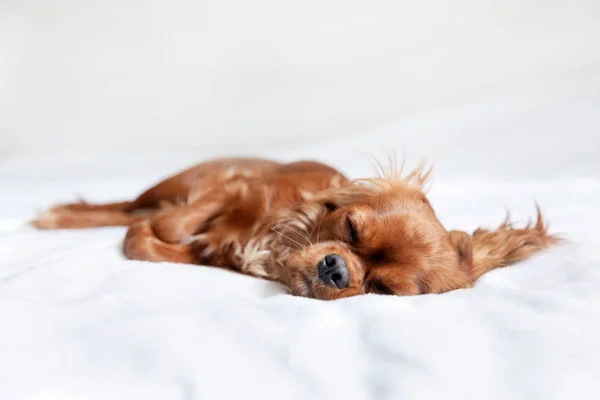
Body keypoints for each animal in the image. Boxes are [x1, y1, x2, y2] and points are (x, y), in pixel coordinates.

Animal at [30, 158, 560, 298]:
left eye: (382, 290)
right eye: (349, 229)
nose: (335, 270)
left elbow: (156, 243)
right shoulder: (236, 185)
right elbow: (171, 227)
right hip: (172, 181)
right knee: (127, 207)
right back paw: (59, 216)